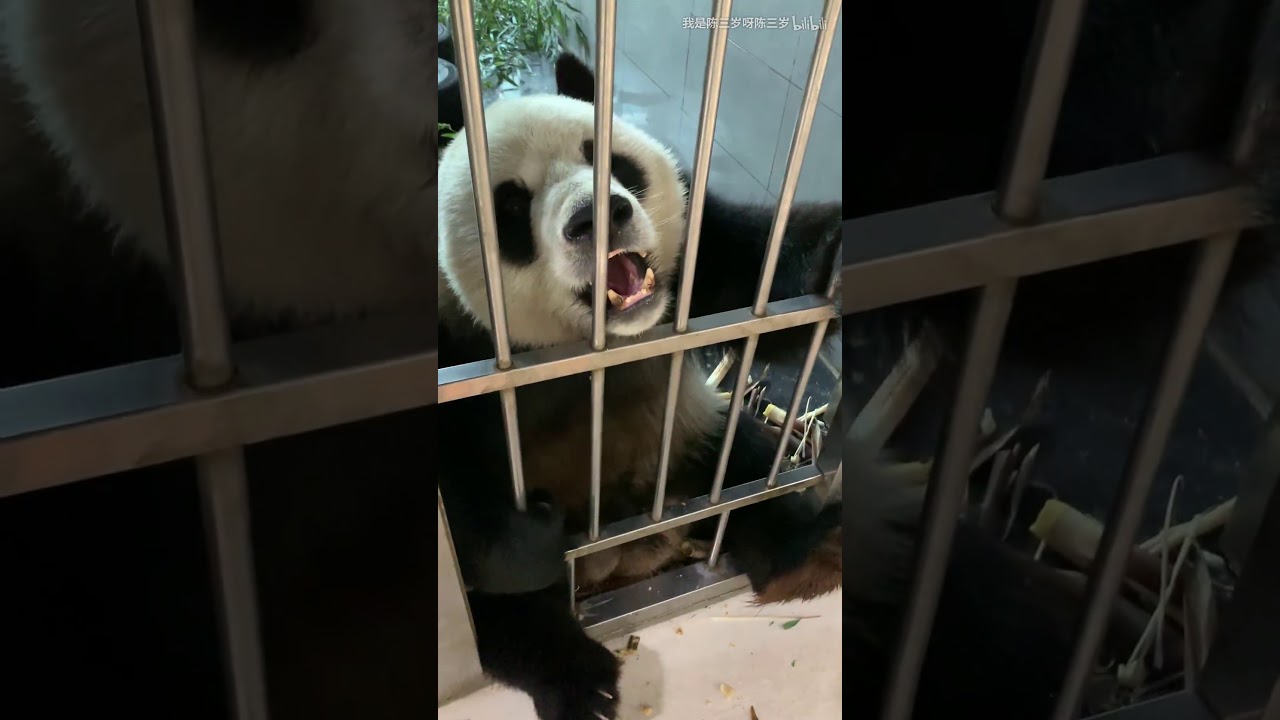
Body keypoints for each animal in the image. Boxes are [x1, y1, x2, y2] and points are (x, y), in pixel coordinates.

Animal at [435, 53, 844, 719]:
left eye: (607, 158)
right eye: (511, 207)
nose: (597, 215)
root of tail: (628, 550)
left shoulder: (693, 255)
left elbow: (760, 285)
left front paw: (833, 258)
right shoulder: (456, 339)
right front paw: (527, 534)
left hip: (686, 442)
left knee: (747, 471)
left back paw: (811, 551)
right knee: (505, 619)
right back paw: (581, 682)